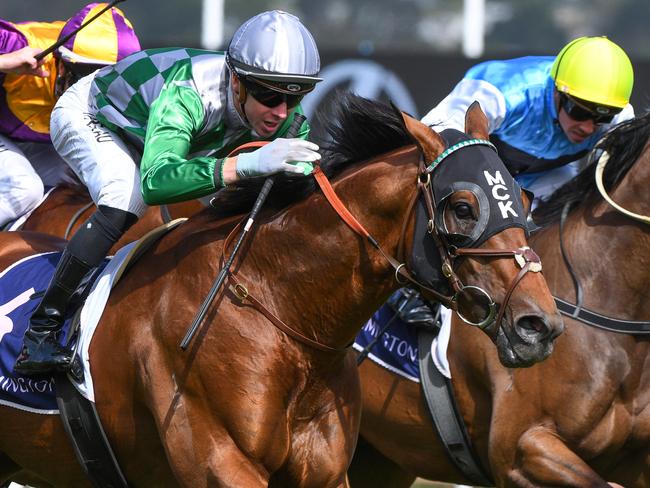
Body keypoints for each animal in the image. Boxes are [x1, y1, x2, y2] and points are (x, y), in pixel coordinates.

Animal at [0, 93, 556, 486]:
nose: (539, 326)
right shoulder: (222, 462)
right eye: (463, 207)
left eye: (524, 199)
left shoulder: (326, 470)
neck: (279, 305)